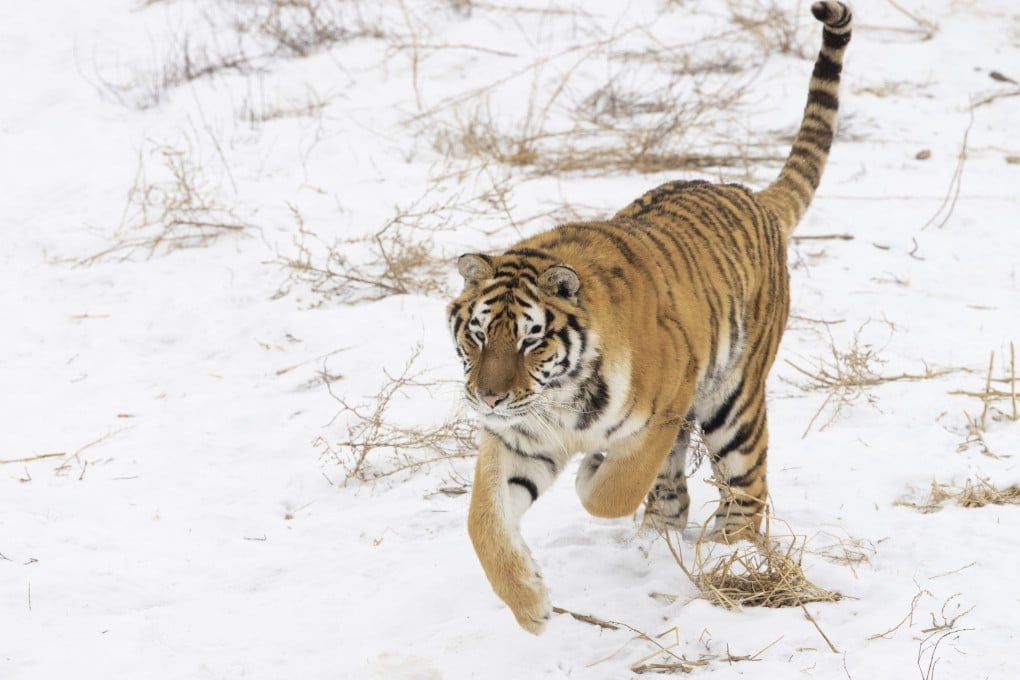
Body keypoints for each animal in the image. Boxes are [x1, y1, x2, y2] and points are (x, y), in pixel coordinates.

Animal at [446, 1, 852, 634]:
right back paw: (656, 540)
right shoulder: (516, 438)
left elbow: (612, 488)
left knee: (747, 482)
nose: (487, 397)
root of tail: (751, 195)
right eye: (479, 334)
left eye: (532, 341)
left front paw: (590, 473)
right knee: (673, 493)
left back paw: (727, 550)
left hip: (732, 400)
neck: (556, 398)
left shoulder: (665, 404)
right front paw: (531, 605)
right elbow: (482, 521)